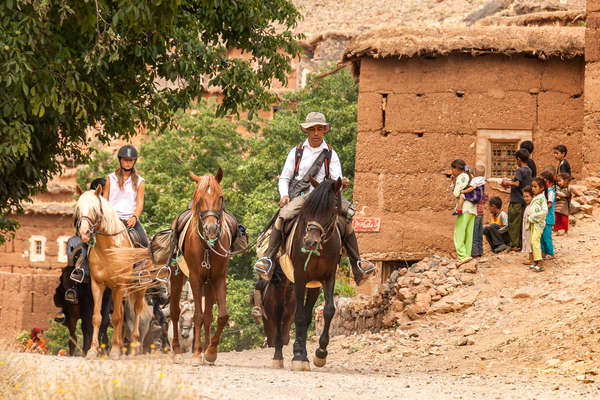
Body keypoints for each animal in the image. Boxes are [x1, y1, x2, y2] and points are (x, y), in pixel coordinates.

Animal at [75, 188, 162, 360]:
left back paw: (134, 347)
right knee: (123, 314)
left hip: (139, 287)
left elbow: (116, 318)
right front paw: (93, 350)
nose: (84, 234)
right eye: (79, 209)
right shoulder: (98, 285)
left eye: (95, 209)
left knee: (136, 312)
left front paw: (115, 351)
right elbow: (97, 318)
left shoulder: (119, 285)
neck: (108, 248)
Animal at [170, 169, 236, 366]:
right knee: (175, 312)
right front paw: (196, 354)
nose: (211, 228)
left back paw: (207, 349)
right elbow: (197, 316)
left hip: (209, 284)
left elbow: (220, 316)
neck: (207, 246)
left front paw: (211, 352)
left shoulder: (218, 278)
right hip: (177, 278)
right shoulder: (195, 278)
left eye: (220, 197)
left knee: (208, 317)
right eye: (199, 199)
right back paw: (178, 352)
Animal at [290, 178, 344, 372]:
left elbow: (329, 310)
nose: (309, 242)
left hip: (313, 286)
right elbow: (298, 315)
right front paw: (298, 356)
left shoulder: (328, 277)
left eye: (332, 209)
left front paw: (320, 352)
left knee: (307, 316)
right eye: (308, 209)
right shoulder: (299, 276)